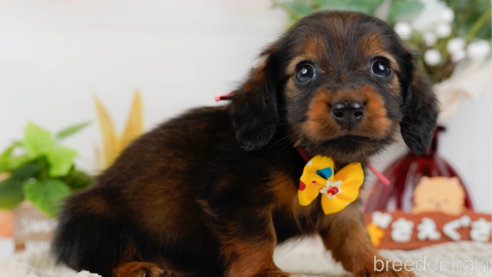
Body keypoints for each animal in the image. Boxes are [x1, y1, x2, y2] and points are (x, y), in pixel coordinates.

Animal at [53, 10, 438, 276]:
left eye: (381, 67)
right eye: (305, 71)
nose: (348, 108)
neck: (302, 155)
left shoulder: (342, 208)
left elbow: (355, 238)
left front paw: (378, 265)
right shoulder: (235, 198)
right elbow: (257, 237)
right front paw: (264, 271)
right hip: (96, 218)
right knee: (97, 260)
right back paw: (140, 268)